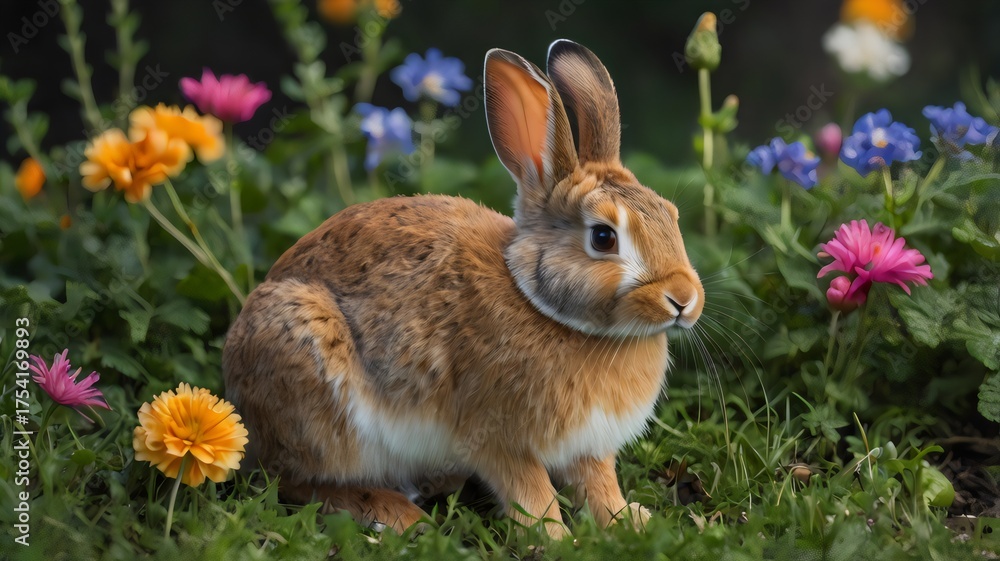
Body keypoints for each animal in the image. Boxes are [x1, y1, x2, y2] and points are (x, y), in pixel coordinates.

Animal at [222, 39, 704, 539]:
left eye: (671, 215)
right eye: (604, 237)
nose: (684, 301)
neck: (546, 308)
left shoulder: (588, 449)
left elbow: (599, 486)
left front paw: (632, 520)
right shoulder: (498, 439)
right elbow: (531, 492)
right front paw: (556, 537)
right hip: (317, 390)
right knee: (298, 480)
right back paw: (394, 512)